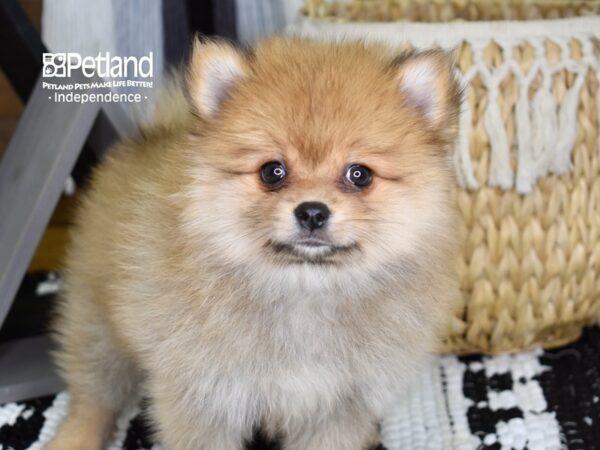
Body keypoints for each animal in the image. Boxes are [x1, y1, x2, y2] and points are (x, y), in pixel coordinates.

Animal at [45, 36, 460, 450]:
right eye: (272, 171)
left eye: (359, 175)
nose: (312, 211)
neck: (304, 290)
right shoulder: (203, 395)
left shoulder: (340, 405)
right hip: (97, 325)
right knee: (93, 396)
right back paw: (74, 439)